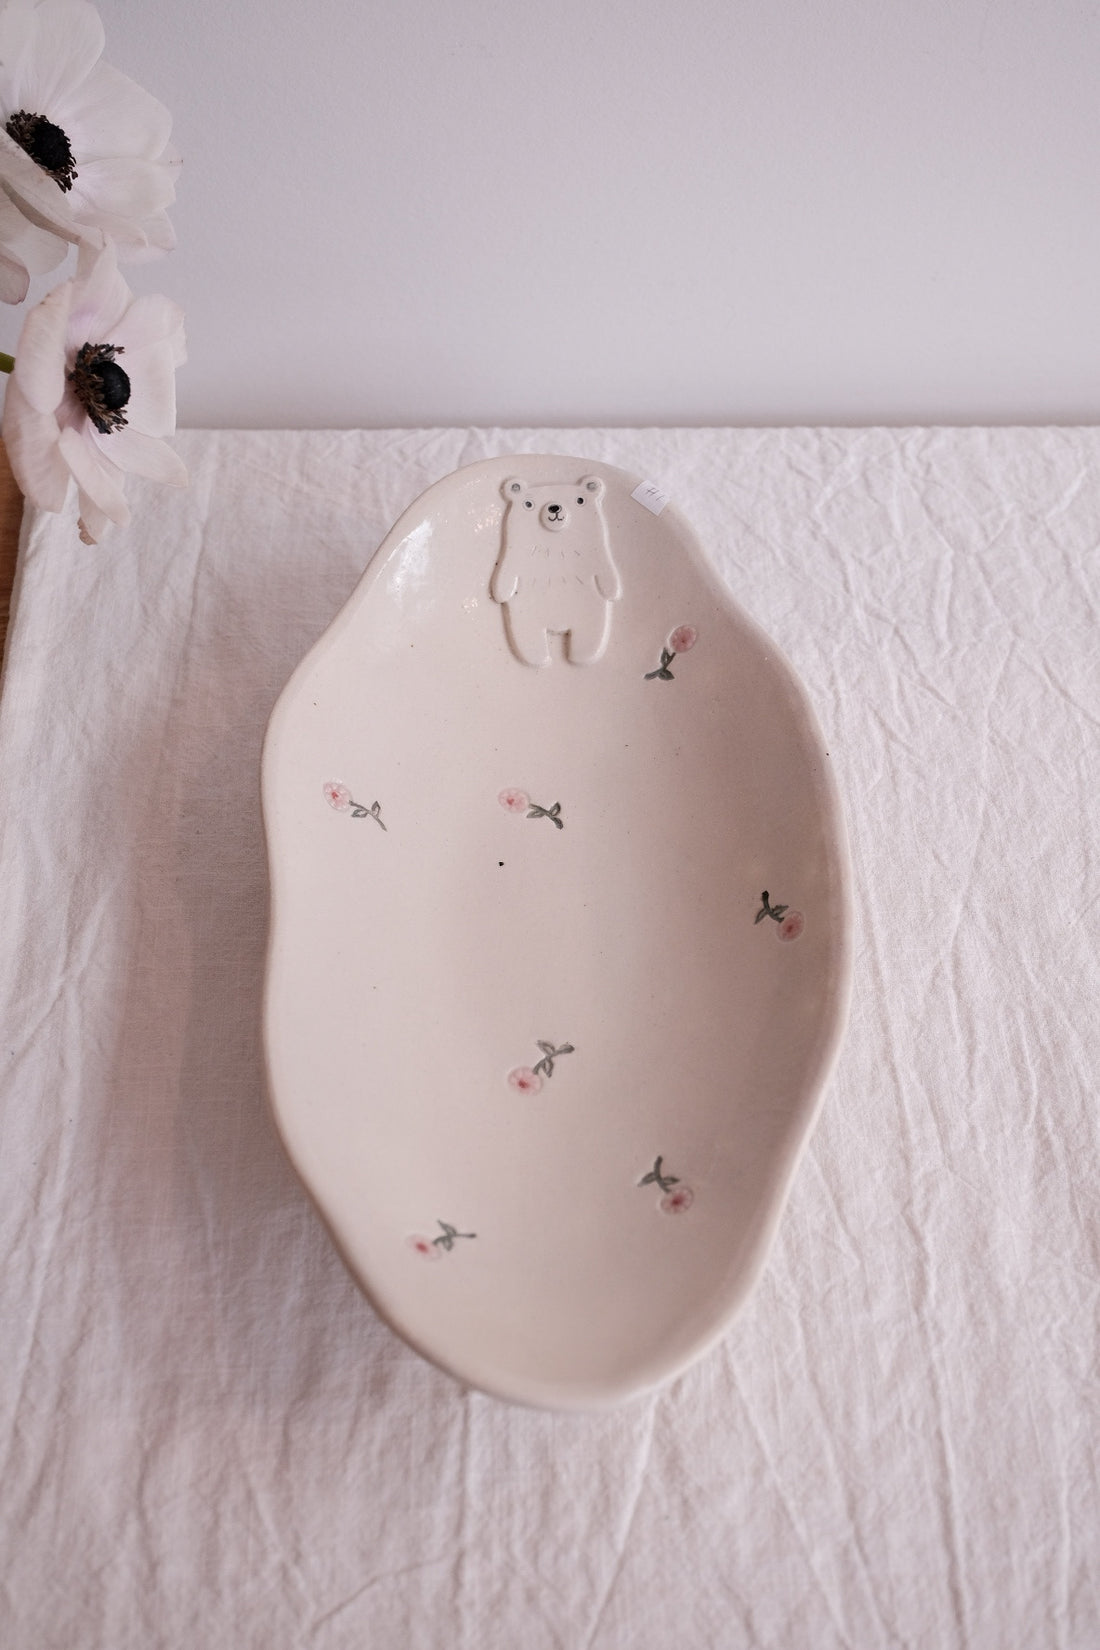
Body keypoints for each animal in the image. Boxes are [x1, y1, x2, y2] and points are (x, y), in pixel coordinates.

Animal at [490, 475, 622, 666]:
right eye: (528, 504)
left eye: (580, 500)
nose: (554, 507)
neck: (555, 546)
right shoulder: (514, 556)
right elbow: (505, 576)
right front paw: (501, 594)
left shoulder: (597, 553)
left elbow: (606, 574)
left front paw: (612, 591)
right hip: (528, 619)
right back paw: (539, 659)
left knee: (589, 635)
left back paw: (580, 657)